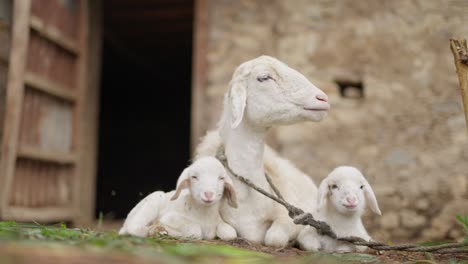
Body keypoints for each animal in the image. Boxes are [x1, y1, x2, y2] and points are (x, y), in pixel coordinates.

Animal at [192, 55, 330, 248]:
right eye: (264, 78)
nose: (322, 98)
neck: (247, 201)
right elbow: (228, 232)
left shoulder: (287, 217)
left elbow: (274, 238)